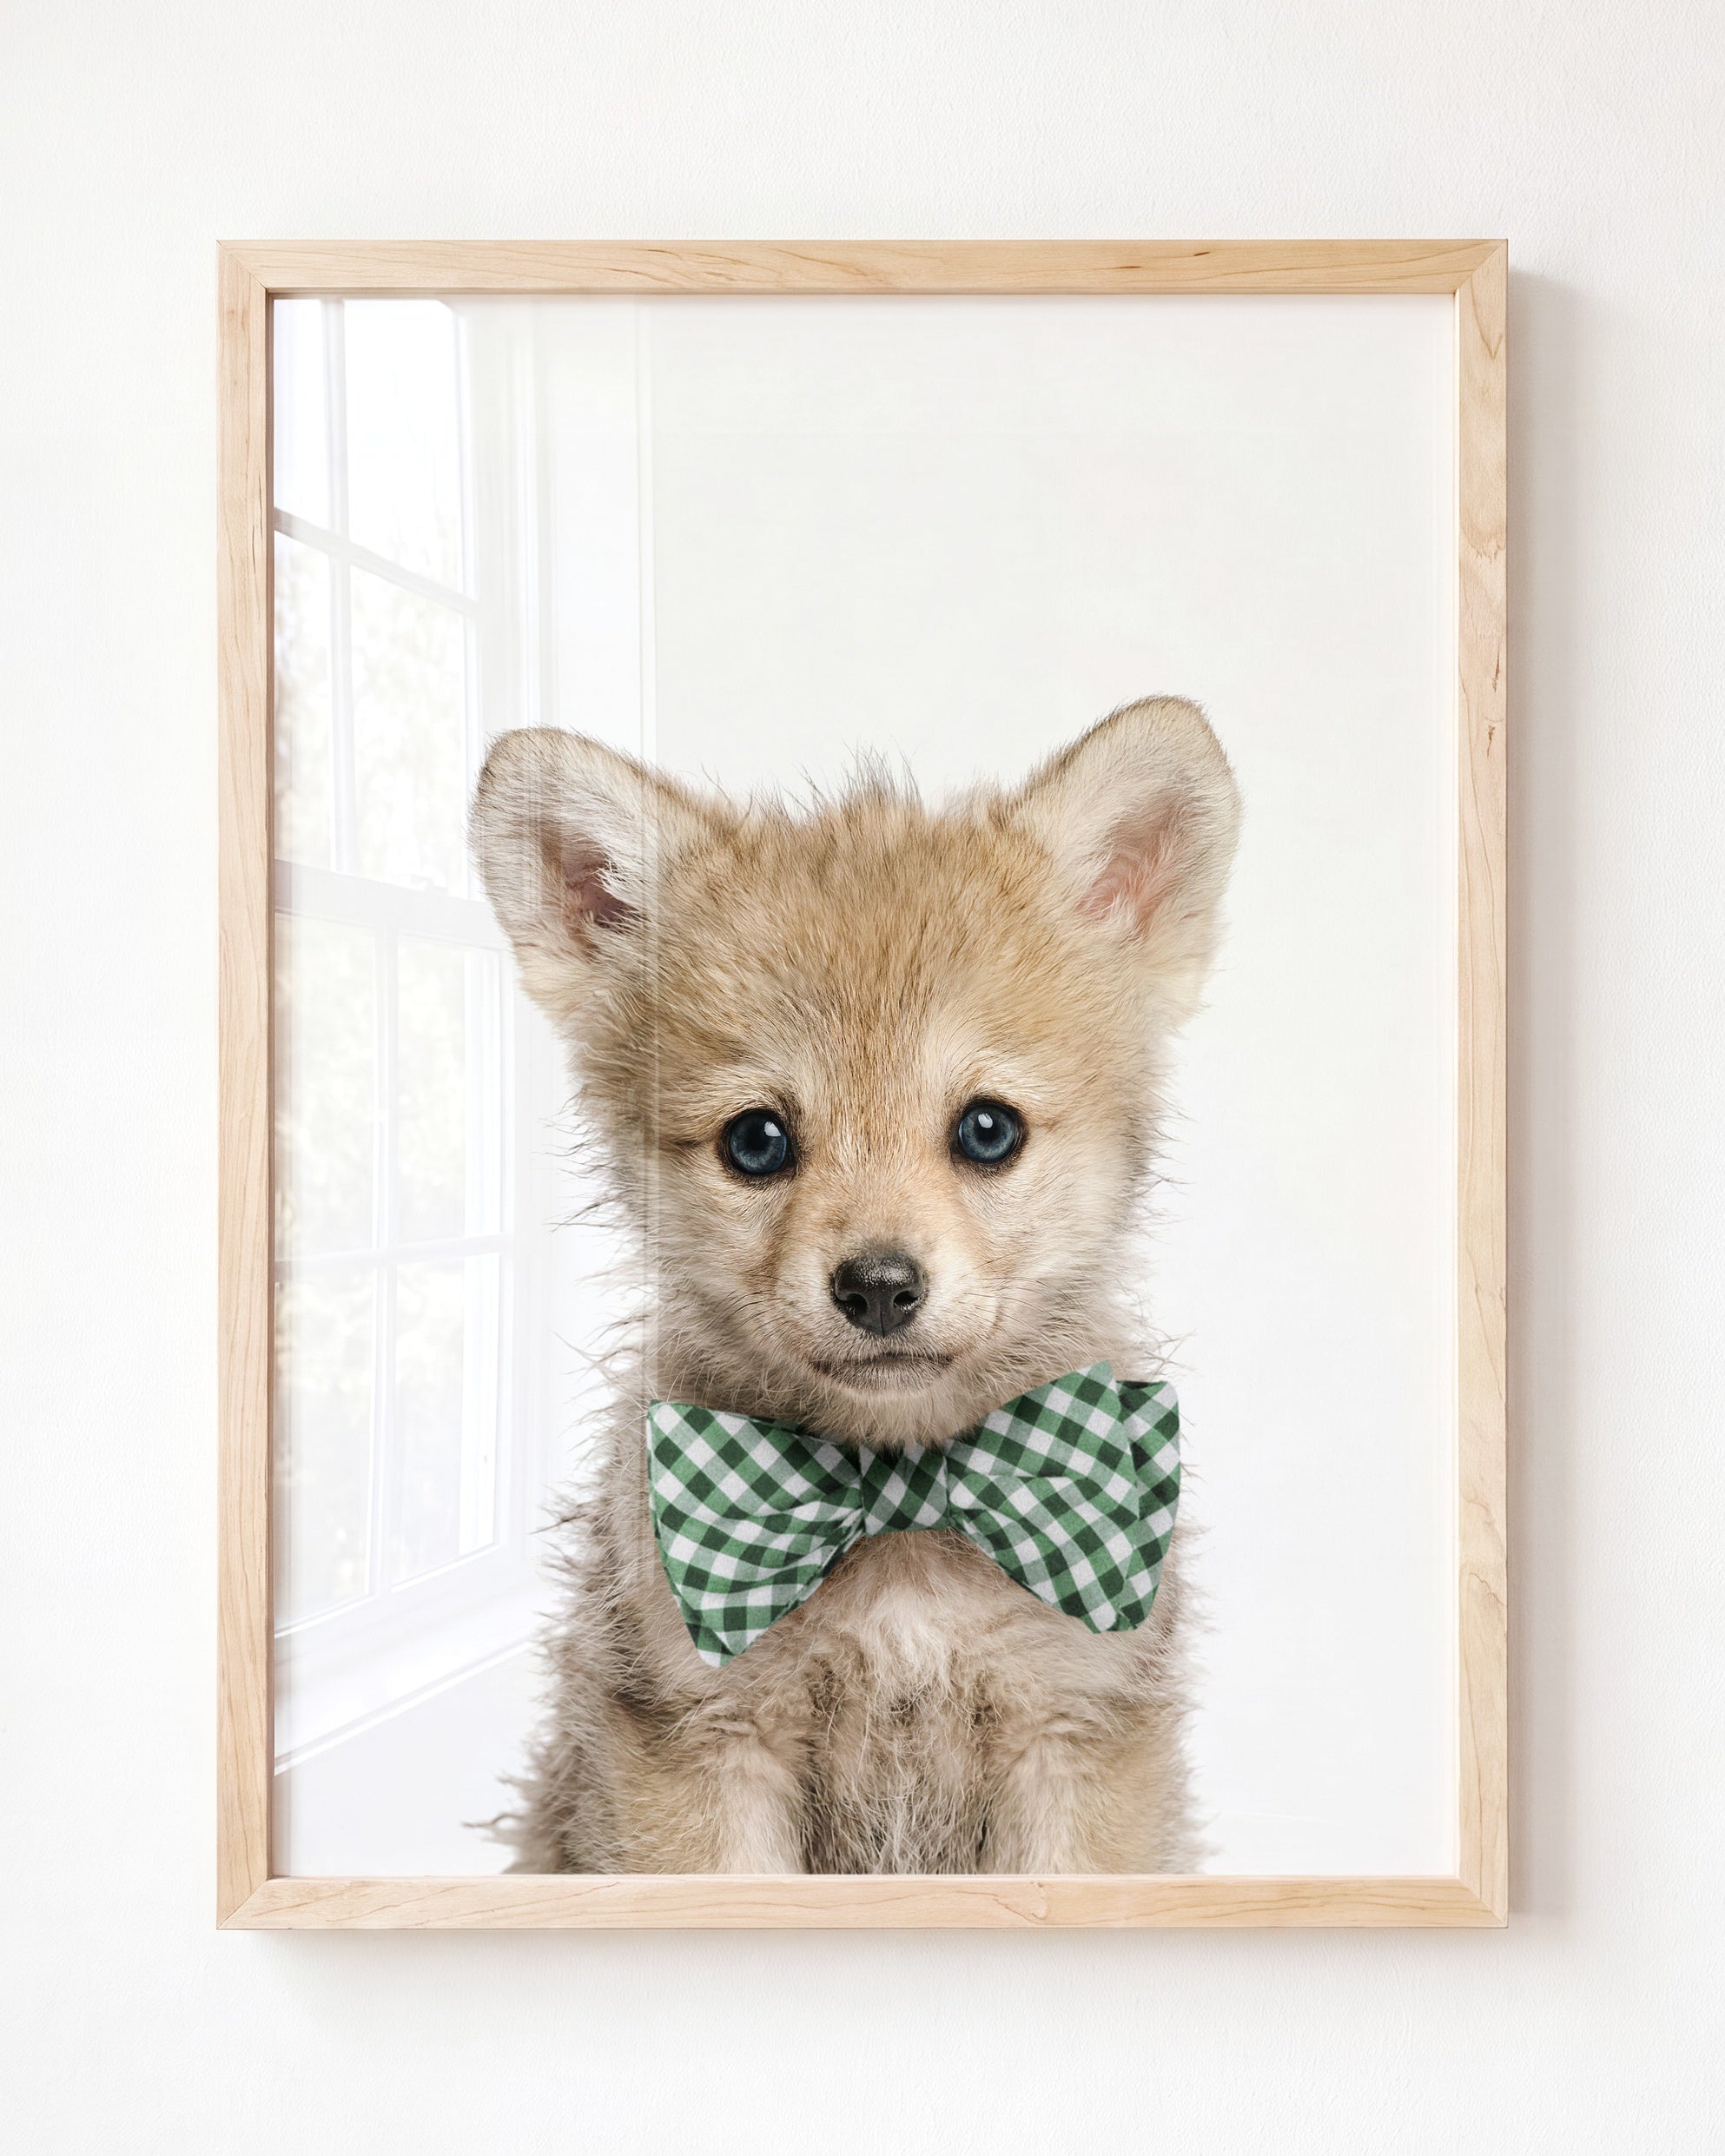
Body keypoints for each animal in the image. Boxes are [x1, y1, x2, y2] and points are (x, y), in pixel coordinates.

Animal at [470, 697, 1240, 1873]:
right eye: (756, 1141)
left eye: (988, 1129)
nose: (879, 1286)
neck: (902, 1506)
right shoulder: (703, 1741)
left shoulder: (1074, 1734)